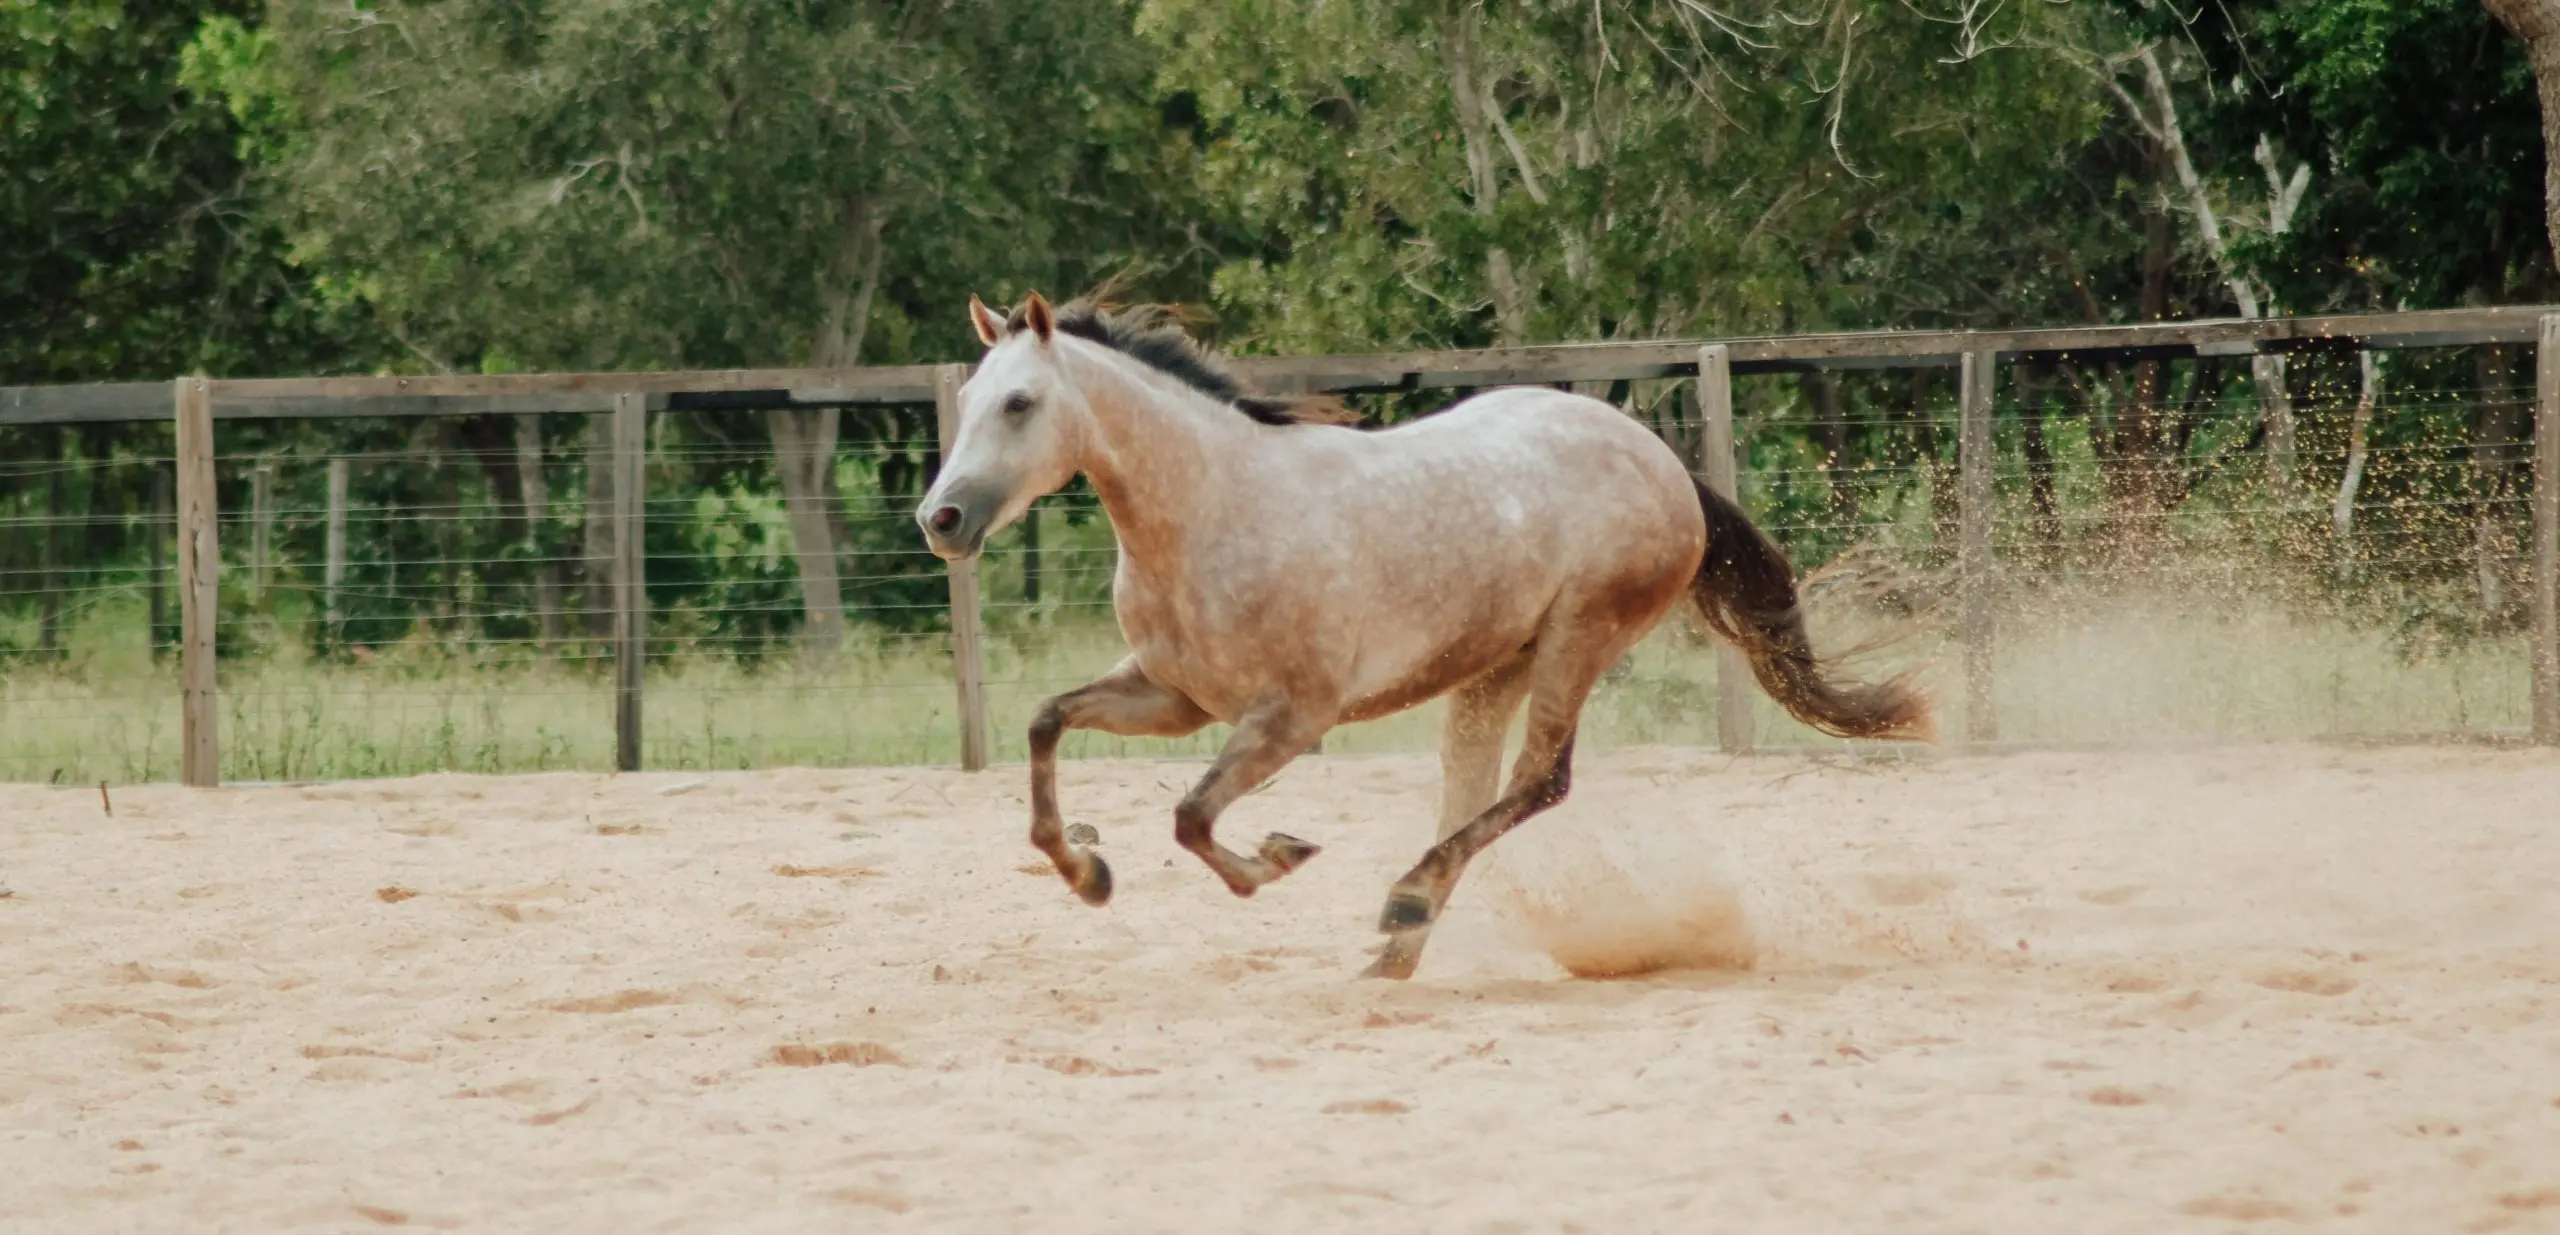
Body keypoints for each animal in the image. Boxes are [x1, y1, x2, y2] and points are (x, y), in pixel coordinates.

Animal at [921, 294, 1925, 978]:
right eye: (970, 396)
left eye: (1019, 403)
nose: (942, 519)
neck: (1210, 511)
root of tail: (1661, 461)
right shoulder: (1173, 697)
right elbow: (1047, 723)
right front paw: (1085, 869)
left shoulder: (1292, 717)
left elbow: (1192, 816)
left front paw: (1277, 858)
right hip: (1494, 665)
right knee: (1473, 787)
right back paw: (1398, 948)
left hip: (1579, 637)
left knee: (1538, 781)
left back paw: (1402, 904)